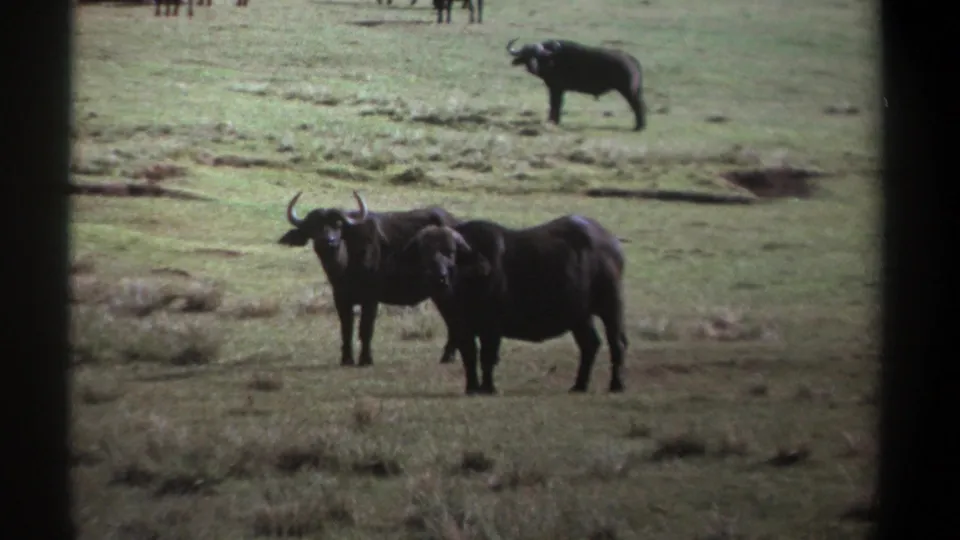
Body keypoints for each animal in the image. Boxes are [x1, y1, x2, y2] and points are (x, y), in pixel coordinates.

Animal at [278, 191, 462, 367]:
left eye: (338, 225)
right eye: (313, 226)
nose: (328, 241)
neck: (347, 264)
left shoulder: (371, 299)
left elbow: (365, 328)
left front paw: (366, 359)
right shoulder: (340, 298)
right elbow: (346, 328)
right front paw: (346, 359)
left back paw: (448, 356)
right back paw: (448, 356)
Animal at [399, 215, 629, 395]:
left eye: (451, 252)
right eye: (424, 253)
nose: (439, 277)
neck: (464, 285)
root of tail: (611, 242)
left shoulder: (491, 326)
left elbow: (488, 356)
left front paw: (487, 388)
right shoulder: (461, 327)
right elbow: (469, 356)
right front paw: (471, 387)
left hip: (611, 306)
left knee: (617, 343)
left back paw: (616, 385)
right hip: (580, 316)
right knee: (590, 344)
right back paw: (579, 385)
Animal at [506, 38, 647, 131]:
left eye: (538, 56)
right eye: (525, 55)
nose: (532, 67)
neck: (553, 60)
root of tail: (632, 60)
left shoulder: (556, 88)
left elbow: (555, 104)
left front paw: (553, 121)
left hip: (629, 90)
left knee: (638, 106)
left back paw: (639, 127)